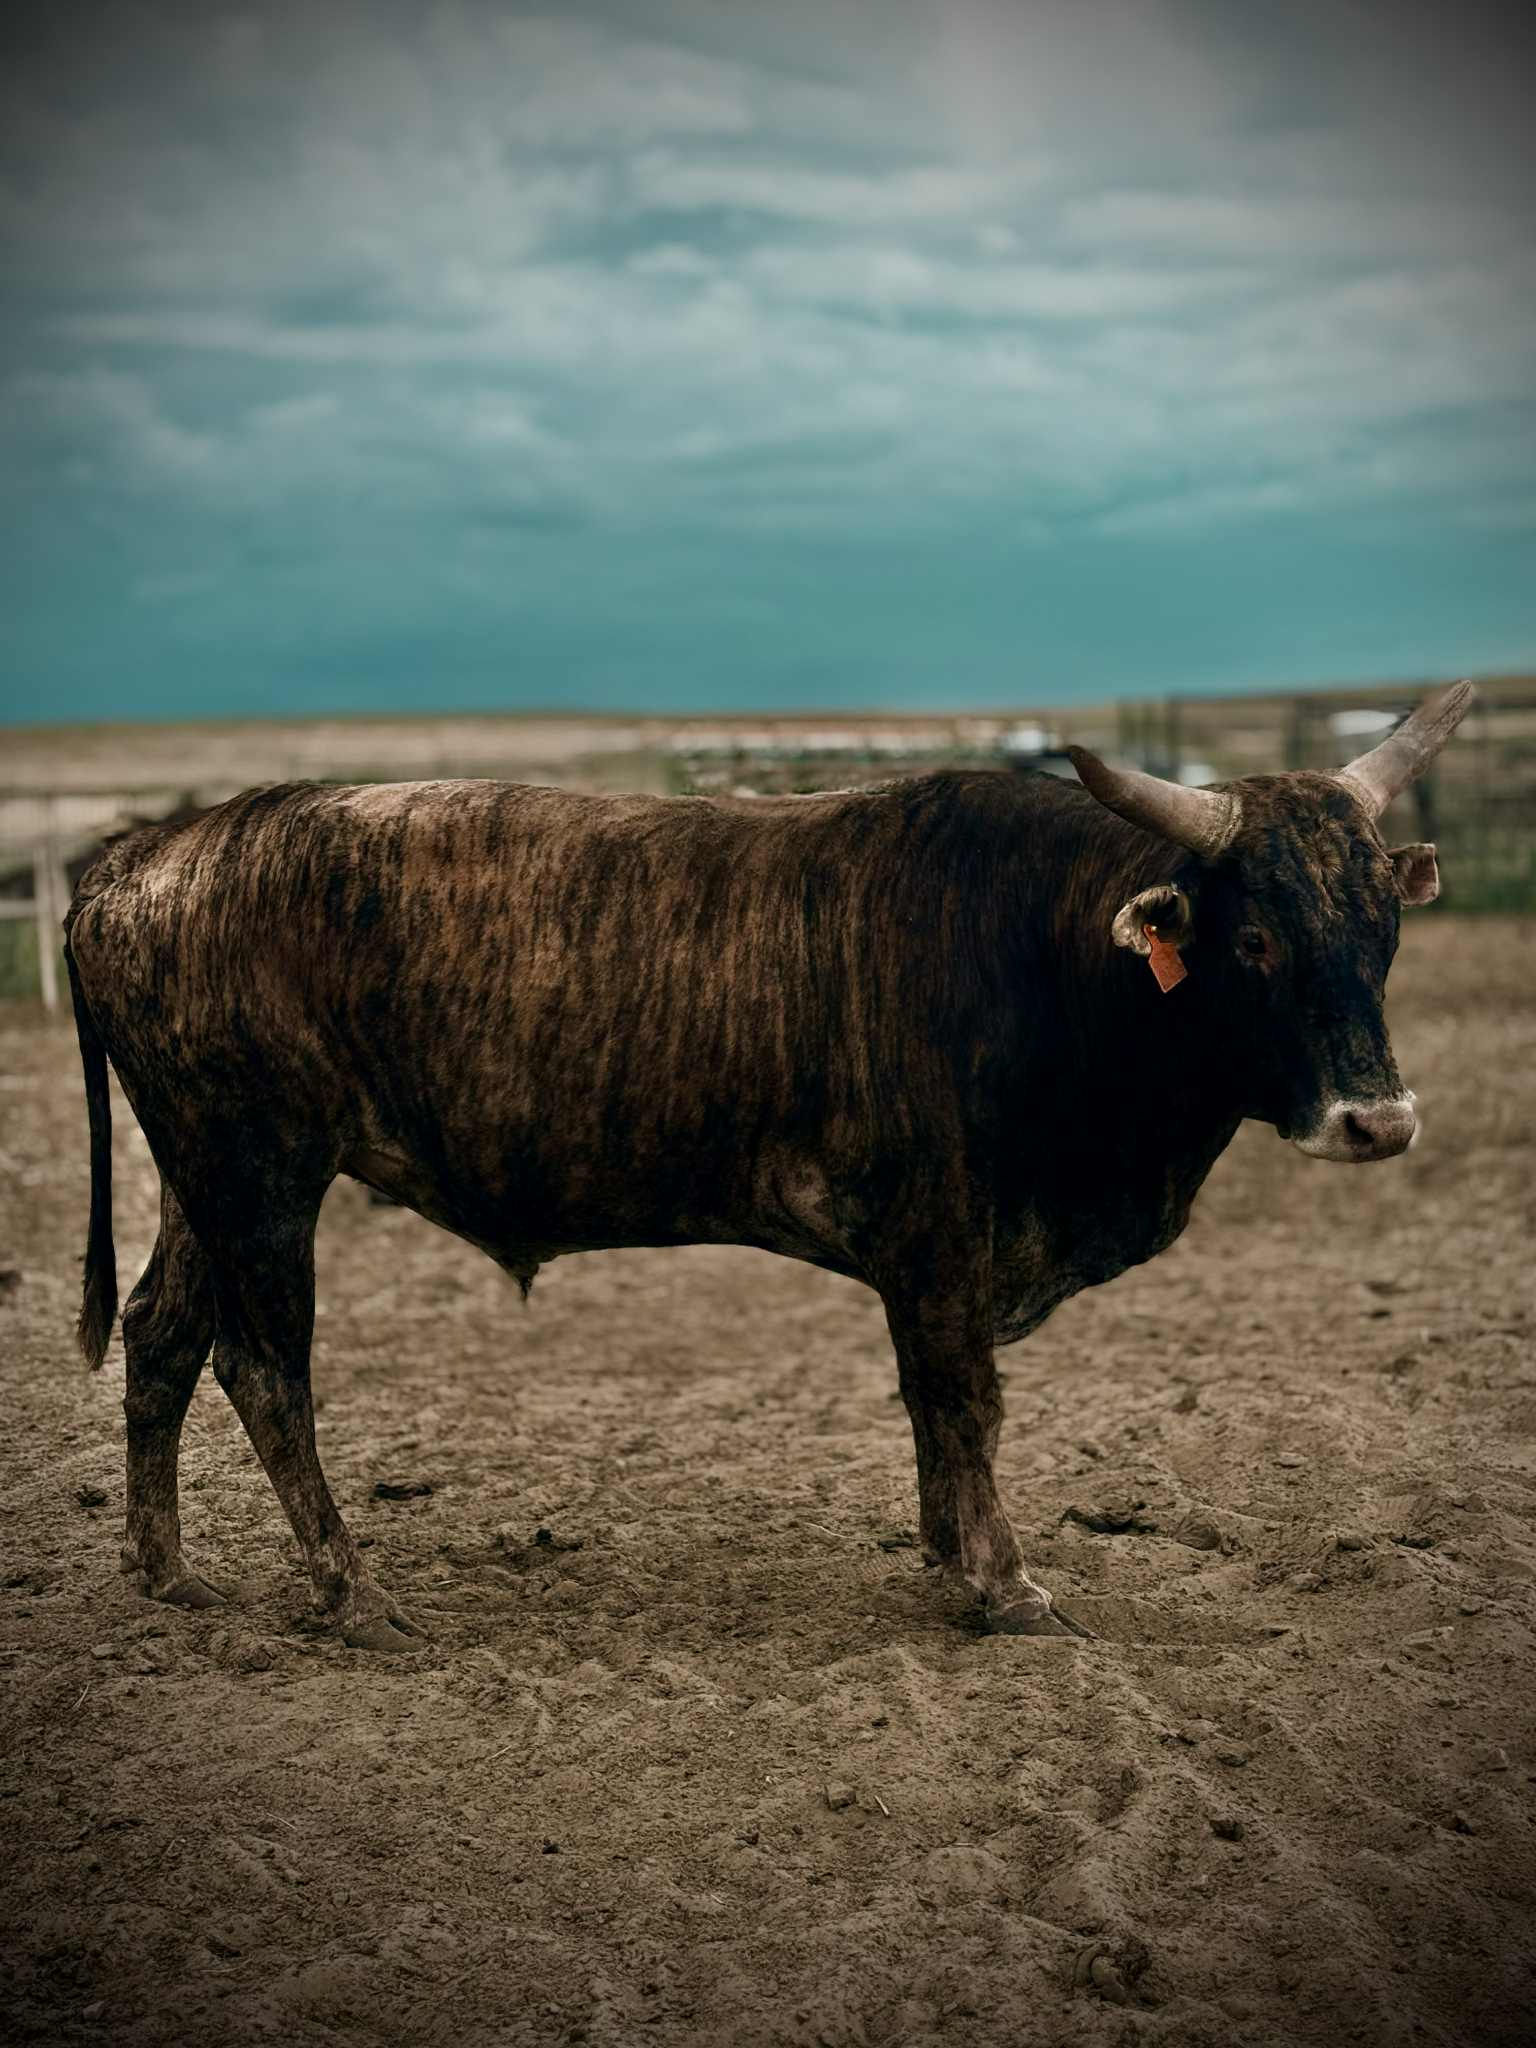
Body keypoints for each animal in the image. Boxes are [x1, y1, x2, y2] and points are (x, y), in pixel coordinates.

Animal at [63, 682, 1472, 1649]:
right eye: (1256, 938)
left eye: (1383, 926)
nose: (1378, 1120)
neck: (1039, 946)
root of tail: (145, 857)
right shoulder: (943, 1237)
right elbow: (966, 1401)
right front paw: (1006, 1582)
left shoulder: (927, 1259)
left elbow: (931, 1408)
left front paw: (946, 1559)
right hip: (258, 1174)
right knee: (263, 1369)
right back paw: (351, 1590)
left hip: (201, 1180)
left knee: (161, 1332)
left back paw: (169, 1572)